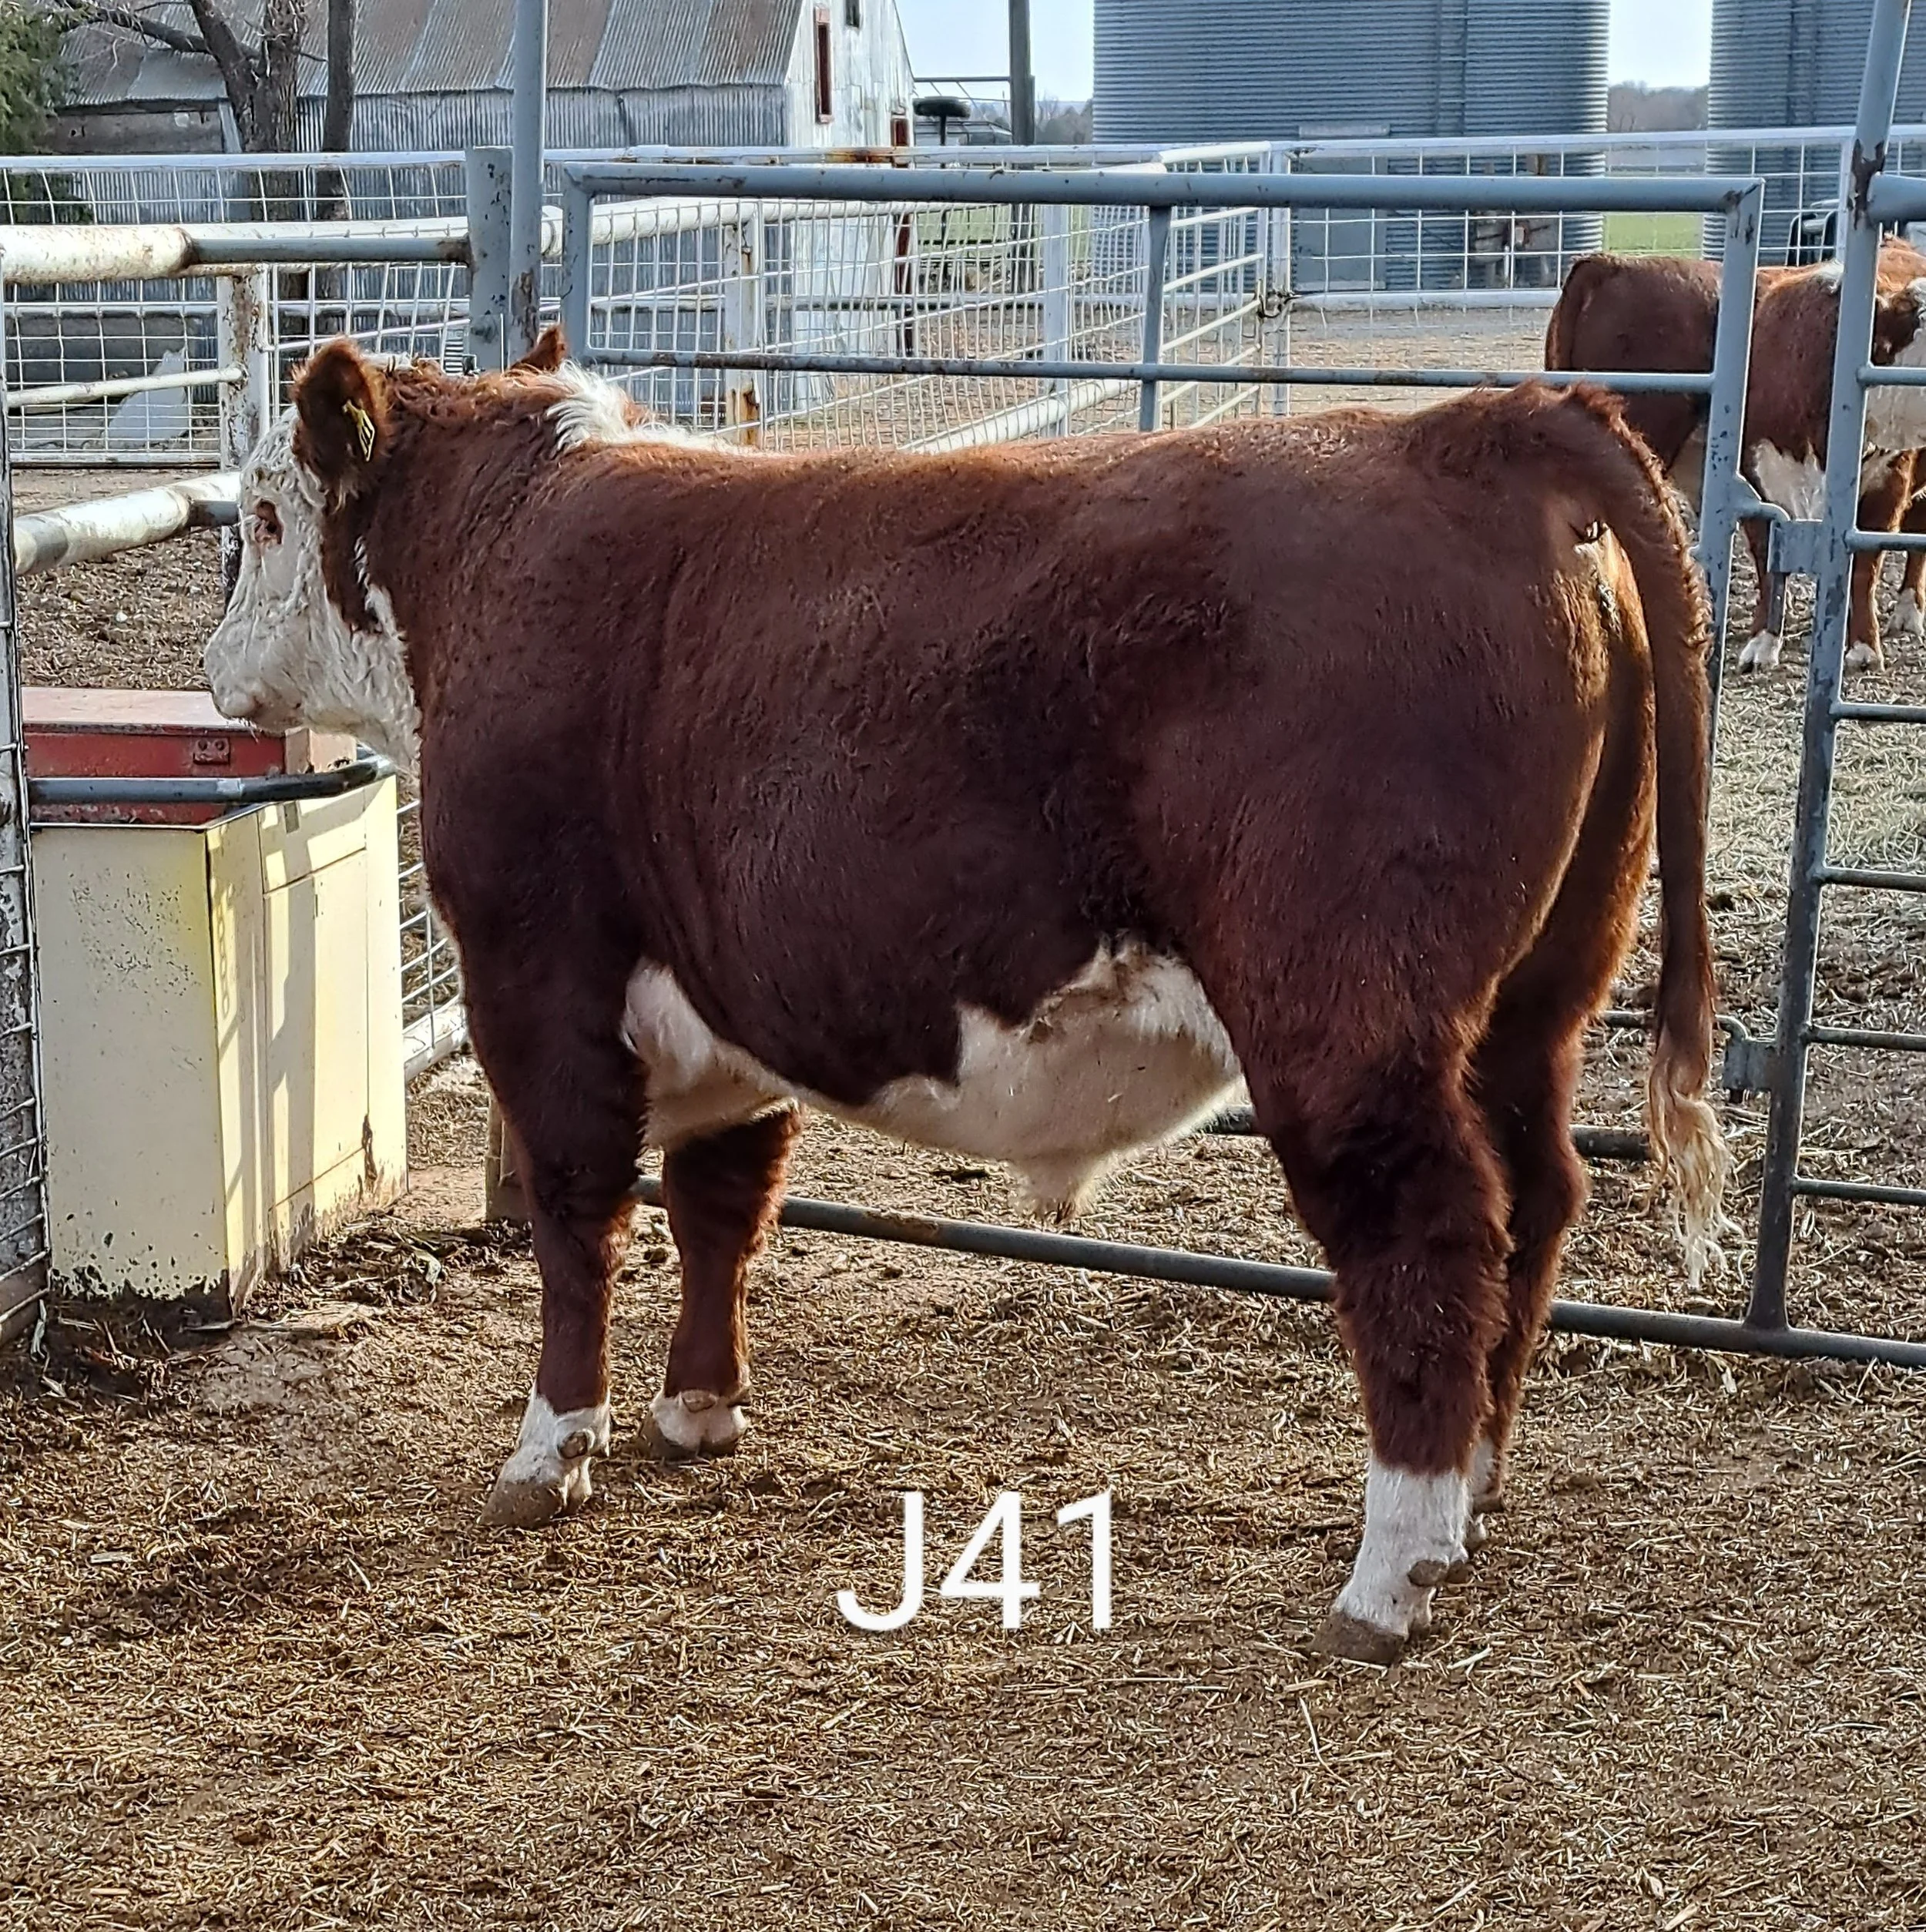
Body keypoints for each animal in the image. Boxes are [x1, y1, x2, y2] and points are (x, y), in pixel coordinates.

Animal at [202, 332, 1728, 1666]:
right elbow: (719, 1205)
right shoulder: (734, 990)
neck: (508, 553)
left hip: (1350, 1021)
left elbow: (580, 1215)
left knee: (1429, 1230)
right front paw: (698, 1408)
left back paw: (1391, 1565)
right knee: (1538, 1196)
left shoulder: (537, 975)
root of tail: (1462, 430)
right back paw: (1473, 1487)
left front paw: (548, 1450)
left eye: (264, 518)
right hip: (1536, 1000)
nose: (215, 674)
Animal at [1544, 244, 1926, 673]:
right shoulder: (1757, 473)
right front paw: (1764, 643)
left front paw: (1862, 648)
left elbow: (1864, 563)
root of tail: (1605, 264)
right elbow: (1768, 558)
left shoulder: (1890, 480)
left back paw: (1908, 612)